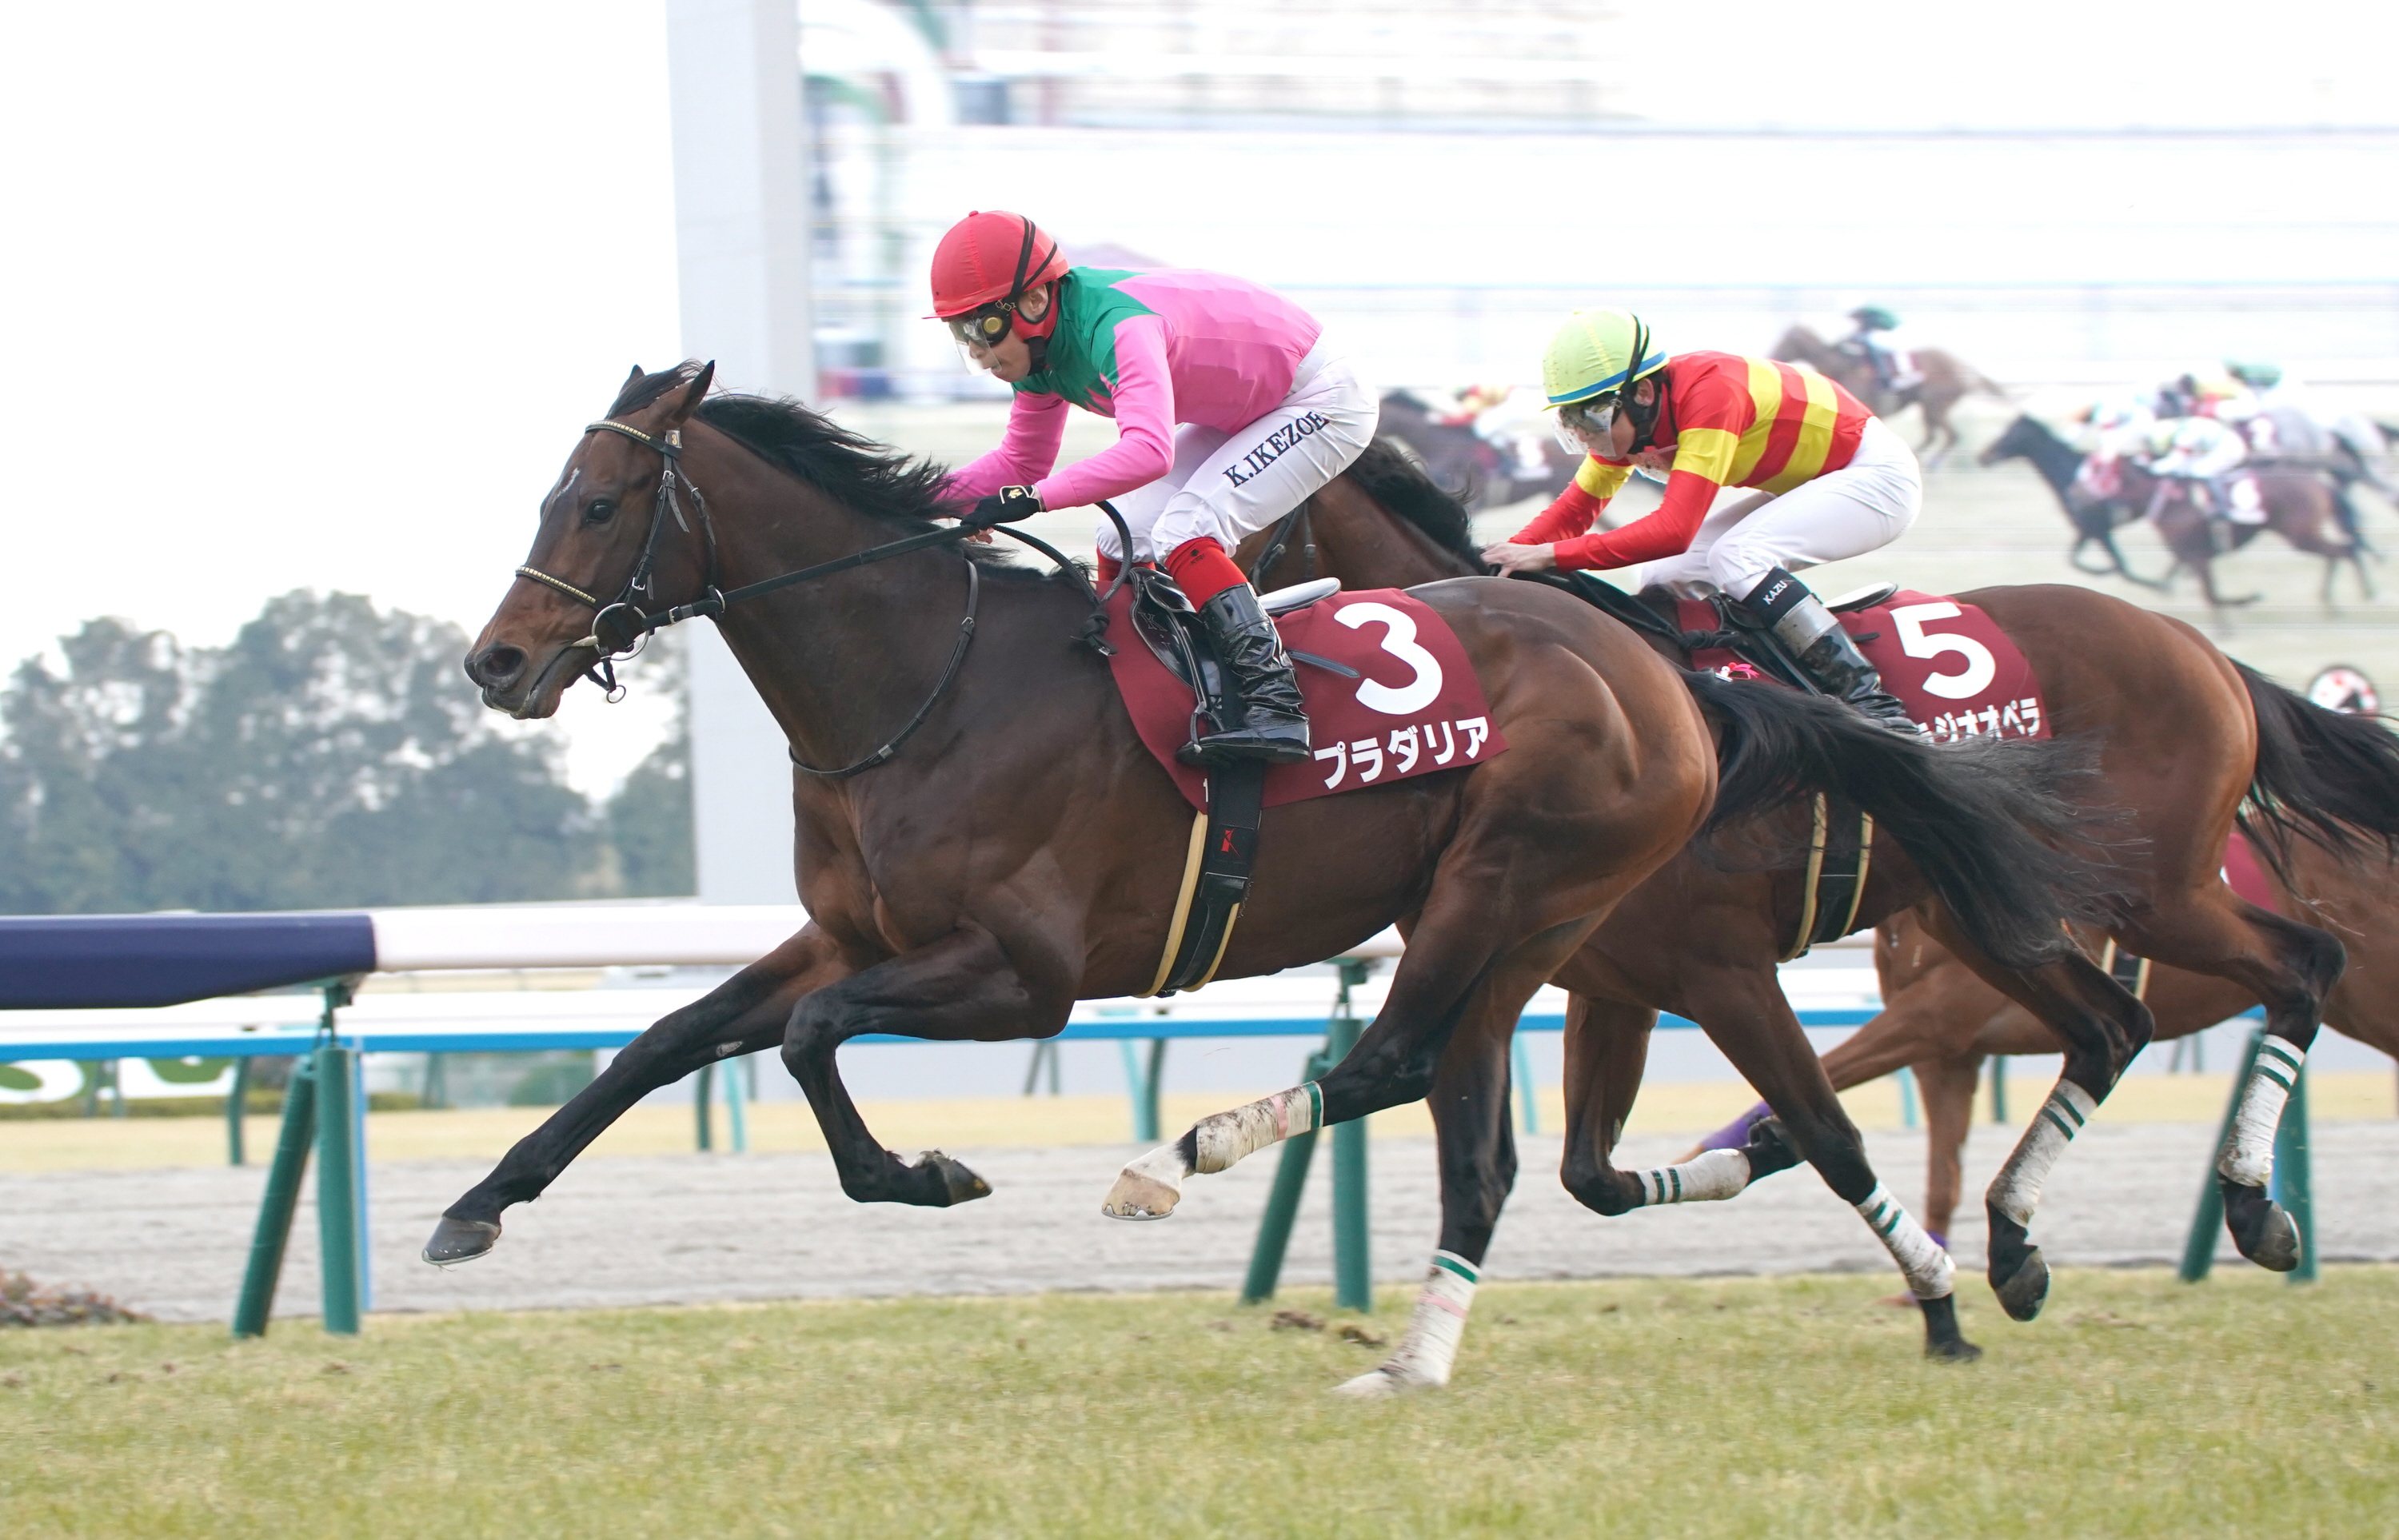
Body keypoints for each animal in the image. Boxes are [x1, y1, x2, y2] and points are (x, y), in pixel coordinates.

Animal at [431, 363, 2091, 1314]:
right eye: (552, 493)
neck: (924, 683)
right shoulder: (853, 931)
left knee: (1403, 1059)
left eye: (597, 503)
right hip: (1537, 916)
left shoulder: (1027, 976)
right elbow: (669, 1038)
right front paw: (473, 1206)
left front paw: (928, 1176)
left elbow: (810, 1039)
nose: (496, 664)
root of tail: (1665, 676)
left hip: (1515, 880)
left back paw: (1184, 1158)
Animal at [1235, 483, 2388, 1389]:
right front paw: (1757, 1163)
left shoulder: (1724, 970)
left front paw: (1937, 1310)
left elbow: (1831, 1136)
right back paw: (2016, 1243)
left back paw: (2253, 1207)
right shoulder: (1616, 981)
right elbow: (1595, 1176)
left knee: (2303, 966)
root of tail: (2201, 648)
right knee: (2112, 1026)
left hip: (2151, 888)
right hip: (1991, 912)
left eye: (1250, 537)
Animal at [1770, 325, 2004, 465]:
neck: (1842, 366)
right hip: (1929, 407)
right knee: (1935, 435)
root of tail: (1964, 367)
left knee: (1950, 435)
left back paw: (1931, 466)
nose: (1772, 354)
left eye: (1786, 342)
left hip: (1935, 406)